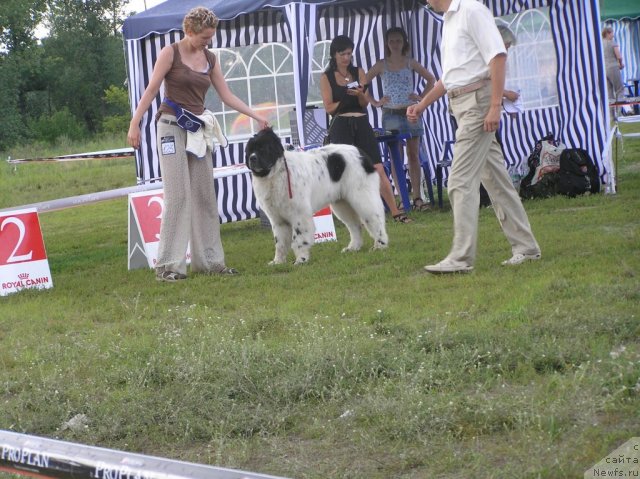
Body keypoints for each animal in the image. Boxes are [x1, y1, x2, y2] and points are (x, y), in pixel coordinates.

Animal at [245, 127, 388, 266]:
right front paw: (278, 262)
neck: (275, 173)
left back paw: (380, 245)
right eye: (250, 150)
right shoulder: (278, 219)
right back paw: (353, 248)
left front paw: (301, 260)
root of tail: (361, 153)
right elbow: (280, 243)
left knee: (375, 219)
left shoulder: (299, 215)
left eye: (263, 149)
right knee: (355, 226)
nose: (252, 158)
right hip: (342, 203)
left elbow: (298, 239)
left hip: (362, 197)